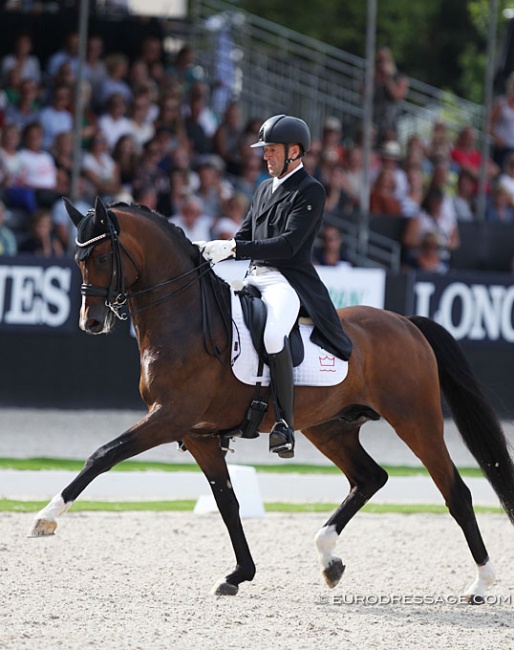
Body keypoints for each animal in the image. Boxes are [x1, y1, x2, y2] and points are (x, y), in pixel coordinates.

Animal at [29, 197, 514, 603]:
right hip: (330, 427)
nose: (92, 322)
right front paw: (238, 575)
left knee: (455, 490)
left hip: (415, 419)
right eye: (78, 260)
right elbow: (227, 503)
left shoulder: (169, 417)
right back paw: (329, 558)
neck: (183, 320)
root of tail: (406, 323)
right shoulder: (198, 433)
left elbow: (103, 455)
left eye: (102, 257)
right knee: (369, 478)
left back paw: (481, 583)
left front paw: (46, 517)